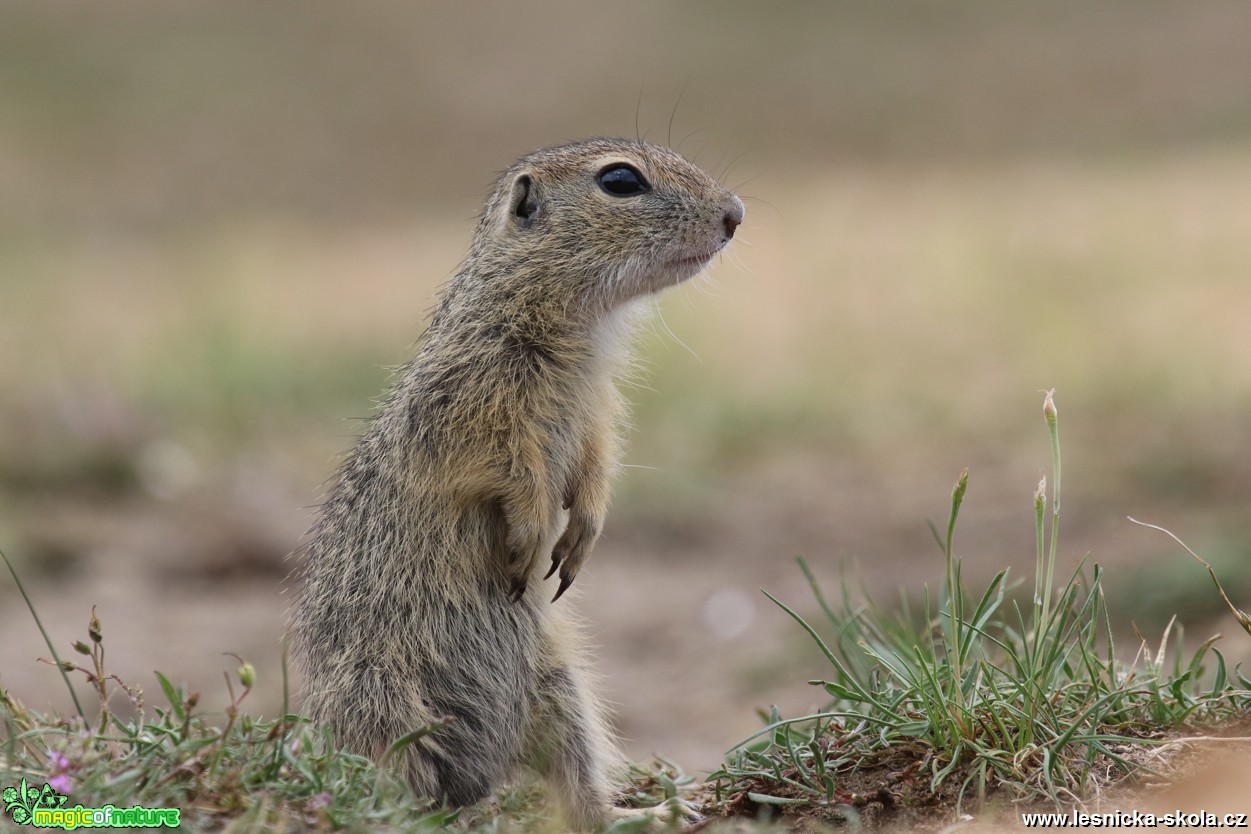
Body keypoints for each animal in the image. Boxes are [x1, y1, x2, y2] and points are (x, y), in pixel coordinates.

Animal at [290, 136, 740, 830]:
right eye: (621, 181)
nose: (735, 213)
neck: (578, 329)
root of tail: (478, 774)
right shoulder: (473, 403)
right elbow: (509, 470)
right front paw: (532, 532)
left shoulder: (595, 412)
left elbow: (596, 464)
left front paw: (583, 532)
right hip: (384, 697)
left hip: (558, 689)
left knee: (579, 794)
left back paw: (644, 812)